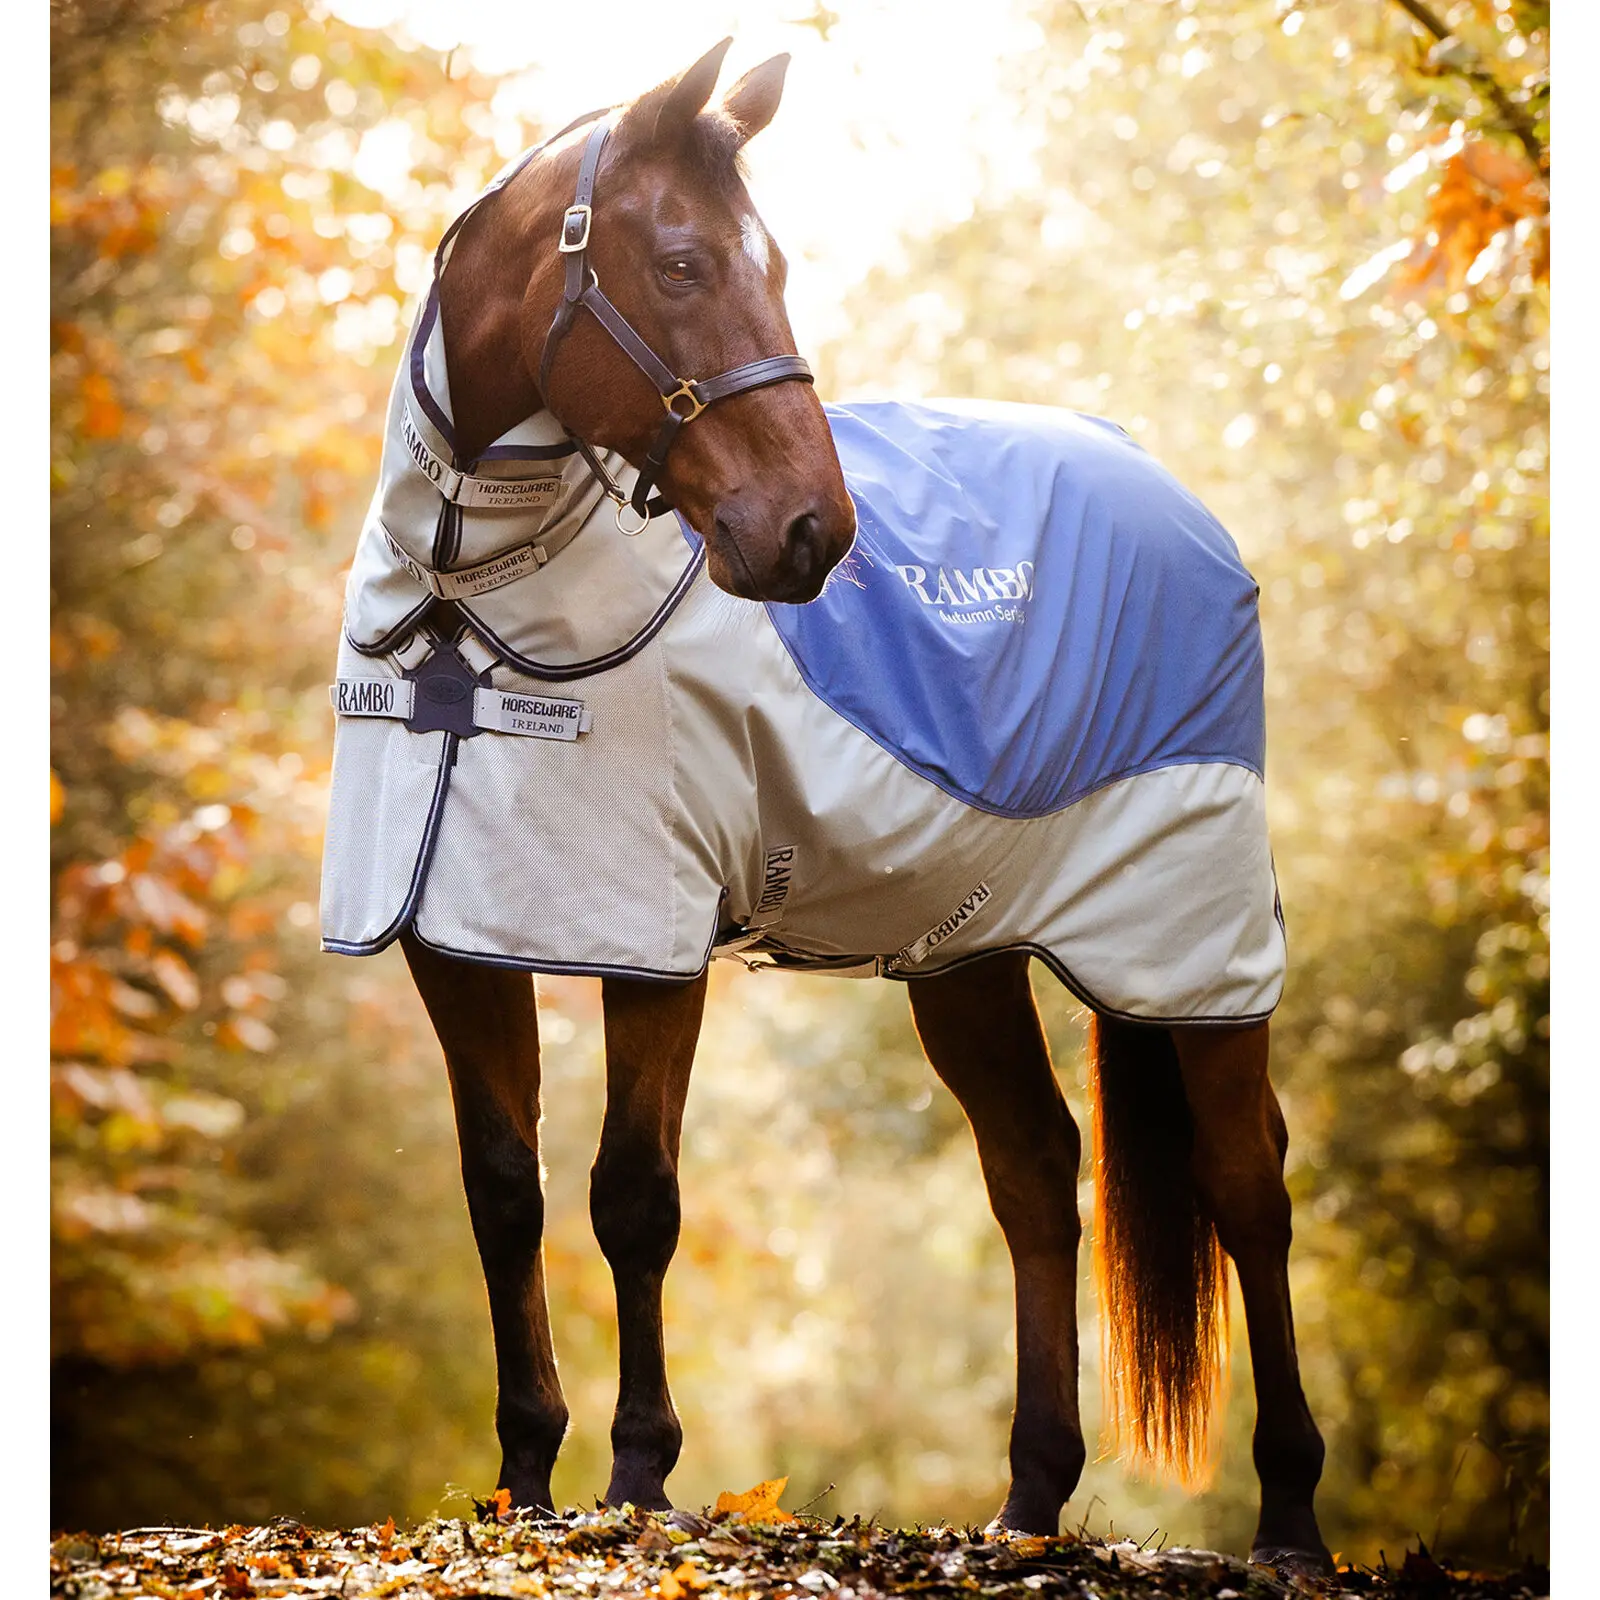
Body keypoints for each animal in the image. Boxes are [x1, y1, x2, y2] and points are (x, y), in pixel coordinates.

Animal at [320, 40, 1332, 1576]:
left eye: (775, 265)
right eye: (680, 263)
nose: (814, 534)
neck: (468, 604)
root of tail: (1176, 500)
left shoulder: (651, 942)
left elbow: (632, 1194)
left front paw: (639, 1473)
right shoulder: (454, 935)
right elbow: (505, 1188)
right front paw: (525, 1478)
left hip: (1190, 943)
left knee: (1244, 1186)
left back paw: (1288, 1517)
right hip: (968, 953)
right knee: (1034, 1170)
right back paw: (1026, 1504)